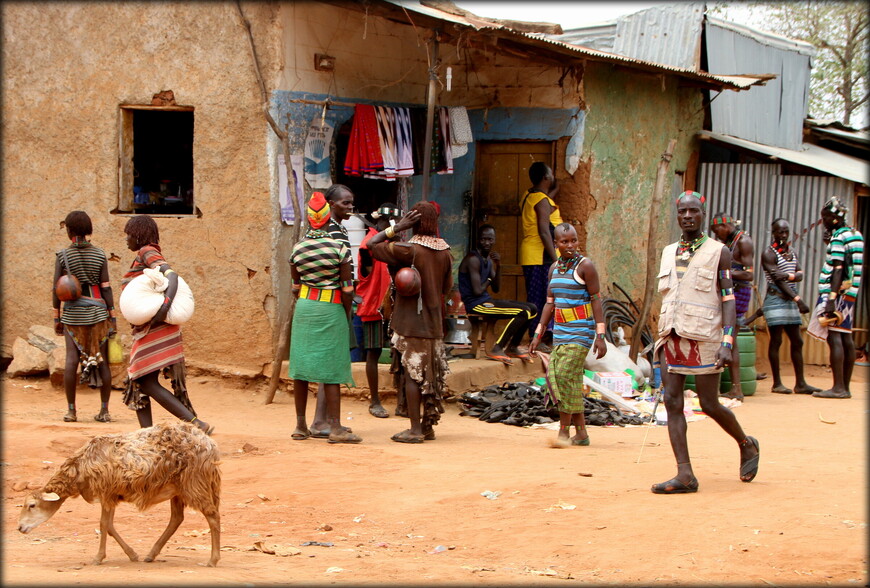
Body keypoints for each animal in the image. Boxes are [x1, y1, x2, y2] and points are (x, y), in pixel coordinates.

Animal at [18, 420, 221, 568]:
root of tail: (210, 444)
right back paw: (151, 555)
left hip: (195, 483)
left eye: (32, 505)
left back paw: (213, 560)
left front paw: (98, 558)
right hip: (179, 489)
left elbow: (103, 524)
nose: (19, 528)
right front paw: (132, 555)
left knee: (212, 517)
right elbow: (109, 525)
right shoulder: (112, 495)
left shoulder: (106, 492)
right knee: (177, 519)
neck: (79, 469)